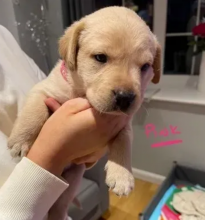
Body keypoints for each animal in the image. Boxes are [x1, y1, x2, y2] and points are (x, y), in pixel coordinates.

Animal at [8, 6, 160, 199]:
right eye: (100, 57)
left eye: (145, 66)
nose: (125, 97)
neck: (81, 92)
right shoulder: (43, 89)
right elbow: (34, 113)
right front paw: (21, 140)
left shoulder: (124, 122)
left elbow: (124, 140)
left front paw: (122, 174)